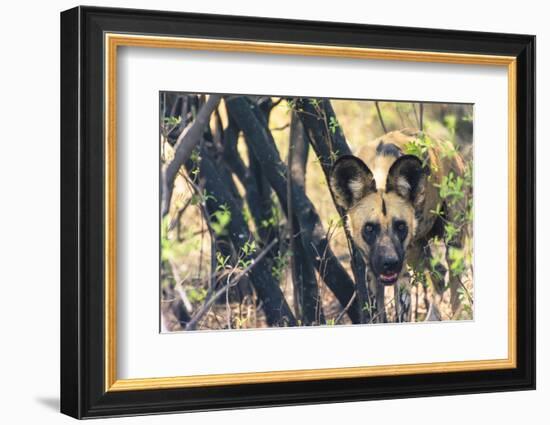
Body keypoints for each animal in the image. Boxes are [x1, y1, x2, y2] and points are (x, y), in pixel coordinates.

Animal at [330, 128, 468, 322]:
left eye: (401, 227)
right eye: (369, 229)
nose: (390, 263)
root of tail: (450, 148)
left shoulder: (401, 274)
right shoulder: (372, 273)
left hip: (450, 242)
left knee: (455, 282)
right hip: (416, 252)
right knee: (439, 275)